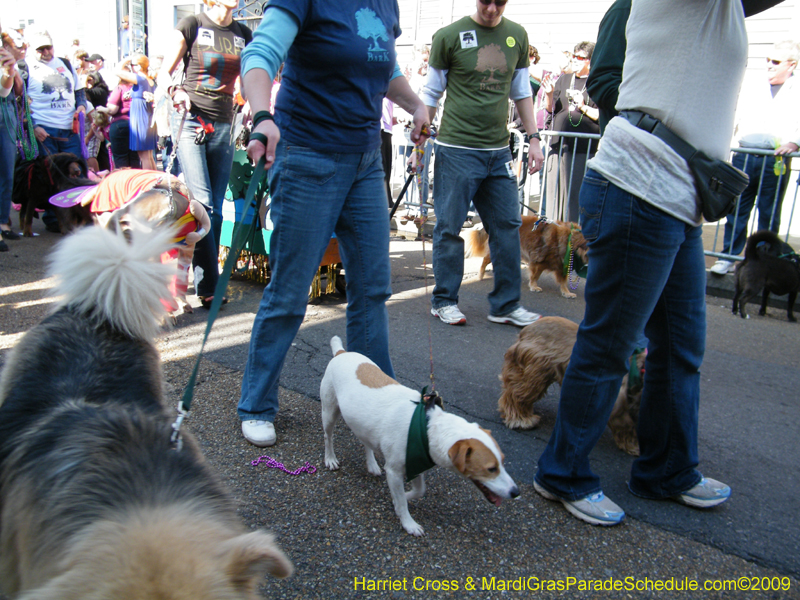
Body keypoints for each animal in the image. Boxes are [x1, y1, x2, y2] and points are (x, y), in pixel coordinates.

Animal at [322, 336, 520, 536]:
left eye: (503, 461)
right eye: (491, 469)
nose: (516, 492)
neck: (427, 426)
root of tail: (341, 352)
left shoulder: (415, 462)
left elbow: (418, 490)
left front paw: (403, 497)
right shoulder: (394, 472)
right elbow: (402, 501)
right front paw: (408, 522)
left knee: (365, 442)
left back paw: (372, 464)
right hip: (329, 412)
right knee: (328, 437)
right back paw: (330, 459)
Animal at [500, 316, 644, 452]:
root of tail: (526, 330)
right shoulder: (618, 404)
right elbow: (627, 426)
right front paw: (634, 446)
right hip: (535, 374)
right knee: (517, 395)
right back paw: (521, 419)